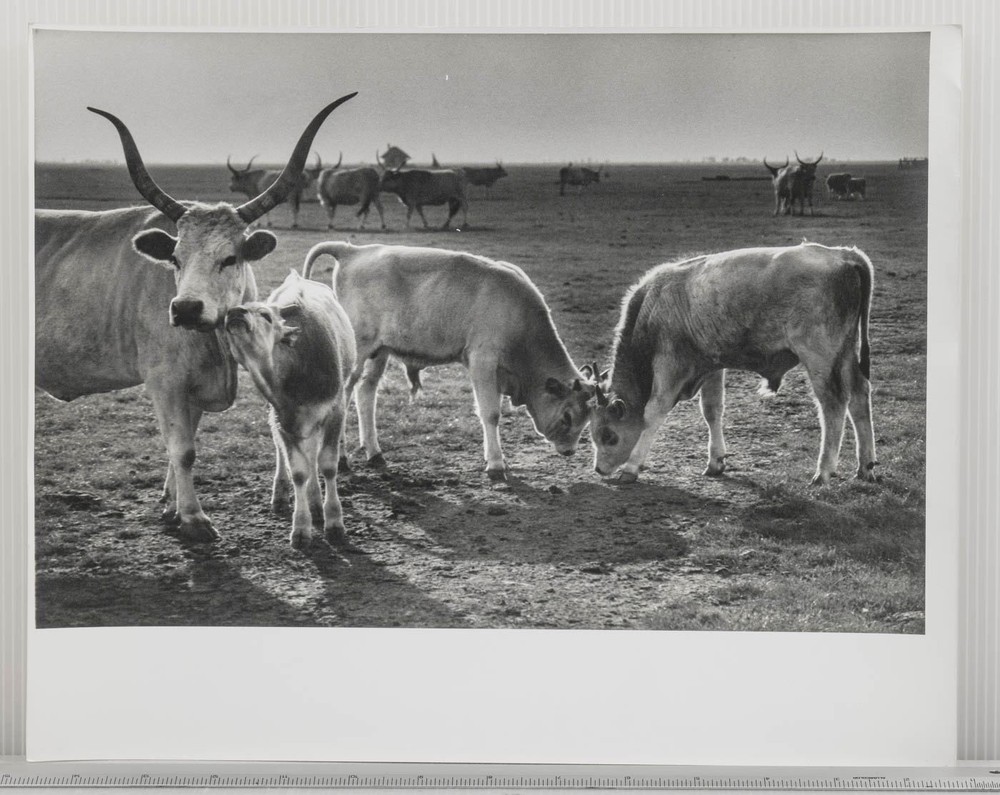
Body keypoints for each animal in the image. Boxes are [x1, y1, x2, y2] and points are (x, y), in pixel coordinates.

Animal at [224, 270, 356, 550]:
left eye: (265, 315)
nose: (235, 312)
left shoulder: (335, 411)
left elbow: (328, 465)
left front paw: (334, 522)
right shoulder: (283, 419)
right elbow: (299, 471)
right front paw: (301, 528)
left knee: (314, 453)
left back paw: (317, 503)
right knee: (286, 453)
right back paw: (285, 494)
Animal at [301, 242, 598, 481]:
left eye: (588, 417)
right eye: (567, 416)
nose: (570, 451)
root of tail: (353, 250)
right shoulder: (482, 360)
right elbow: (490, 413)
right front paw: (496, 465)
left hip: (380, 350)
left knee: (366, 393)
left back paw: (374, 453)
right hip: (359, 350)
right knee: (345, 395)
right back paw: (342, 460)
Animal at [588, 243, 877, 487]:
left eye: (608, 436)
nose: (598, 469)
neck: (654, 302)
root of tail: (844, 254)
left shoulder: (670, 365)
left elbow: (653, 413)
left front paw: (631, 468)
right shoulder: (711, 366)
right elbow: (712, 410)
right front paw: (716, 462)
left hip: (821, 358)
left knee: (833, 403)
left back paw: (824, 471)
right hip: (845, 354)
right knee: (859, 395)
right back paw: (865, 466)